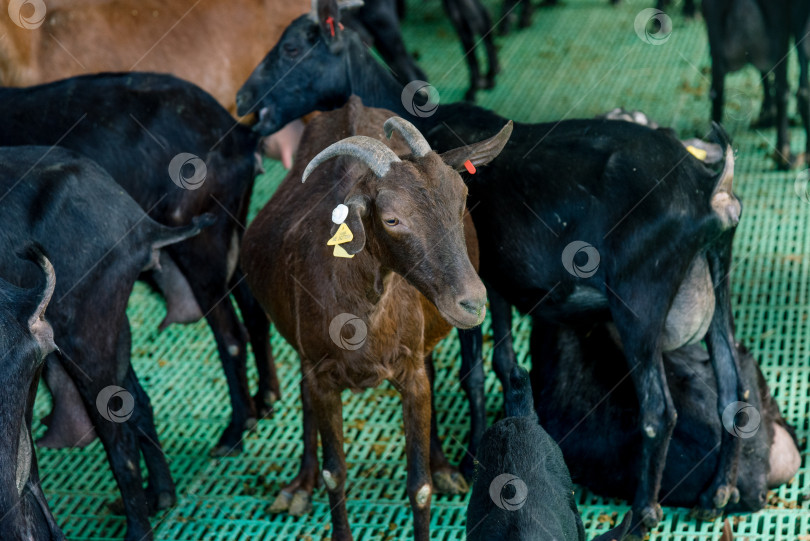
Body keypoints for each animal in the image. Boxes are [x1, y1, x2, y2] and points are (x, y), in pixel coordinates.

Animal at [0, 146, 211, 540]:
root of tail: (140, 224)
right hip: (109, 334)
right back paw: (161, 496)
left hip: (86, 337)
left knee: (119, 436)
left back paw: (138, 528)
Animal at [241, 97, 511, 540]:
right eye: (391, 219)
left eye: (462, 196)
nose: (472, 303)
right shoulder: (322, 374)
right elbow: (335, 474)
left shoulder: (410, 371)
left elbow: (420, 487)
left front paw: (433, 472)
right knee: (302, 393)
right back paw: (299, 486)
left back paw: (443, 466)